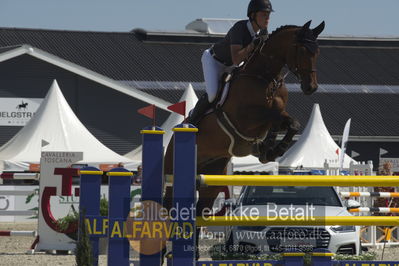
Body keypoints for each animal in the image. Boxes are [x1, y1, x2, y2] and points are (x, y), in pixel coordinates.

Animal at [162, 18, 324, 254]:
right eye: (302, 50)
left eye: (317, 51)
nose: (311, 87)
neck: (265, 76)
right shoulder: (245, 117)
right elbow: (273, 116)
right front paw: (271, 148)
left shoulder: (278, 114)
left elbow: (290, 122)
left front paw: (271, 149)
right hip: (172, 175)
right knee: (166, 209)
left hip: (211, 178)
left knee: (199, 212)